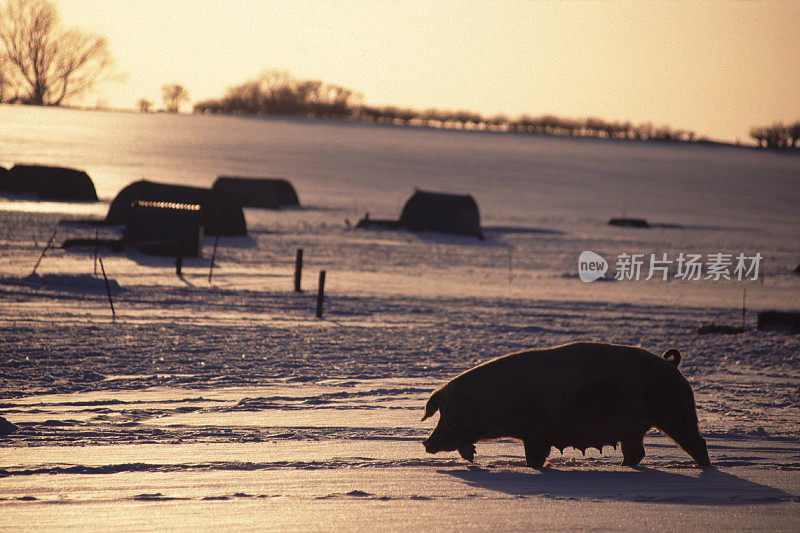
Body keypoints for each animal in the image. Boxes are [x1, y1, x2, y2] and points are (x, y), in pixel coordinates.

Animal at [422, 342, 708, 468]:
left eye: (449, 415)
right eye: (441, 413)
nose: (426, 443)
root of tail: (671, 364)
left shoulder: (536, 432)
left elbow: (535, 456)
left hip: (676, 412)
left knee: (696, 442)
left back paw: (705, 469)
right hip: (635, 428)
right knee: (636, 452)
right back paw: (621, 467)